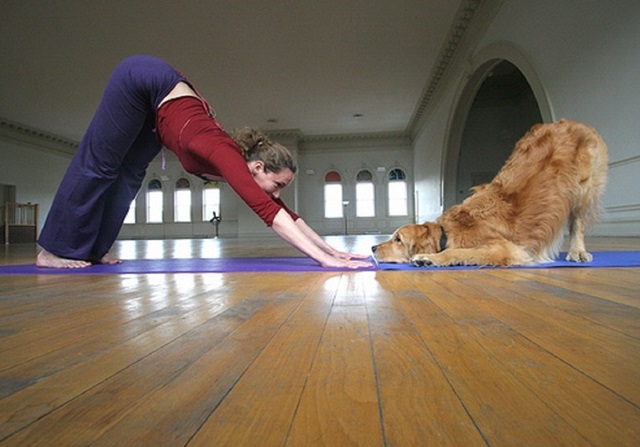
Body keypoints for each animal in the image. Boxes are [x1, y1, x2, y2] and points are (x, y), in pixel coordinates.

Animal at [372, 119, 608, 266]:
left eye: (398, 240)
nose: (373, 248)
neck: (447, 232)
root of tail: (573, 123)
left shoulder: (504, 248)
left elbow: (455, 251)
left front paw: (428, 258)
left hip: (583, 188)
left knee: (578, 223)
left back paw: (577, 251)